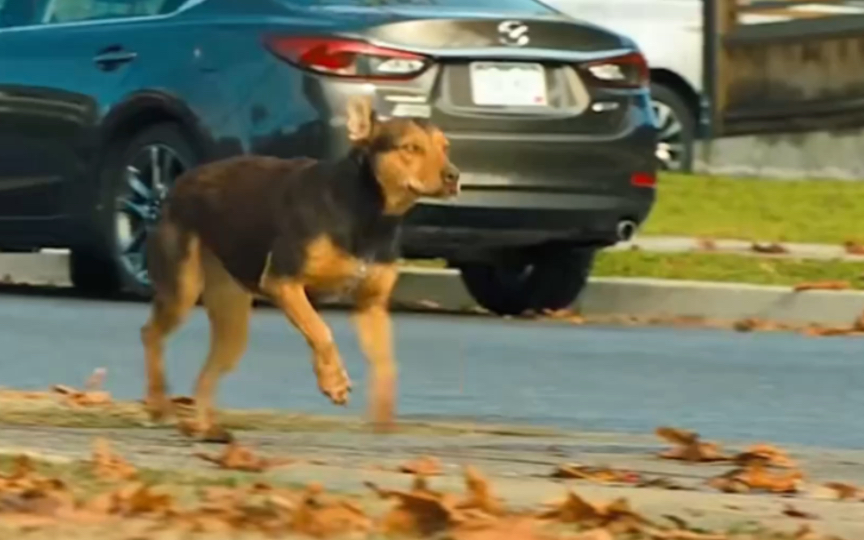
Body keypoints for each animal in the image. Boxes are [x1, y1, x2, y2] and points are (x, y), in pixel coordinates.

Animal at [140, 96, 460, 442]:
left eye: (446, 147)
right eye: (411, 148)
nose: (454, 176)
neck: (368, 211)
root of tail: (179, 183)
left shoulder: (371, 306)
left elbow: (386, 363)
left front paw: (383, 420)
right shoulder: (283, 282)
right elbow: (321, 331)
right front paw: (333, 381)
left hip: (231, 320)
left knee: (207, 372)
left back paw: (205, 427)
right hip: (182, 289)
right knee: (150, 334)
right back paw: (158, 403)